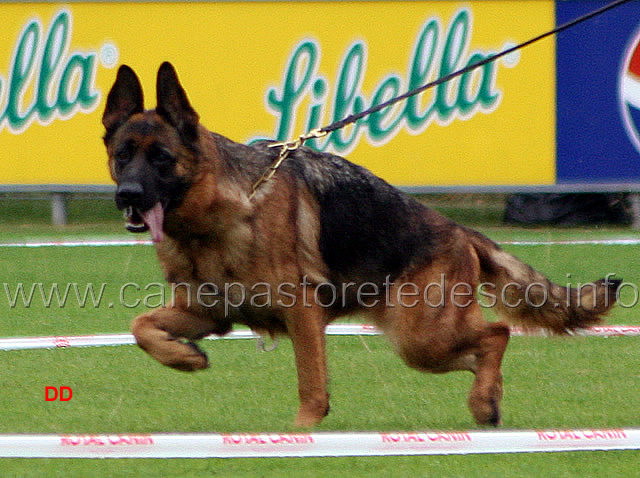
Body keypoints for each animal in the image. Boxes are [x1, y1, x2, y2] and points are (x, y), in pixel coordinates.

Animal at [104, 62, 620, 426]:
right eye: (122, 155)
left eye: (162, 158)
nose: (127, 196)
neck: (215, 216)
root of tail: (459, 231)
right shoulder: (207, 311)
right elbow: (140, 326)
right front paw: (183, 357)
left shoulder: (302, 313)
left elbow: (312, 387)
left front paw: (300, 437)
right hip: (424, 342)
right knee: (482, 349)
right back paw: (488, 398)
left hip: (420, 334)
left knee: (497, 333)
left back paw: (483, 401)